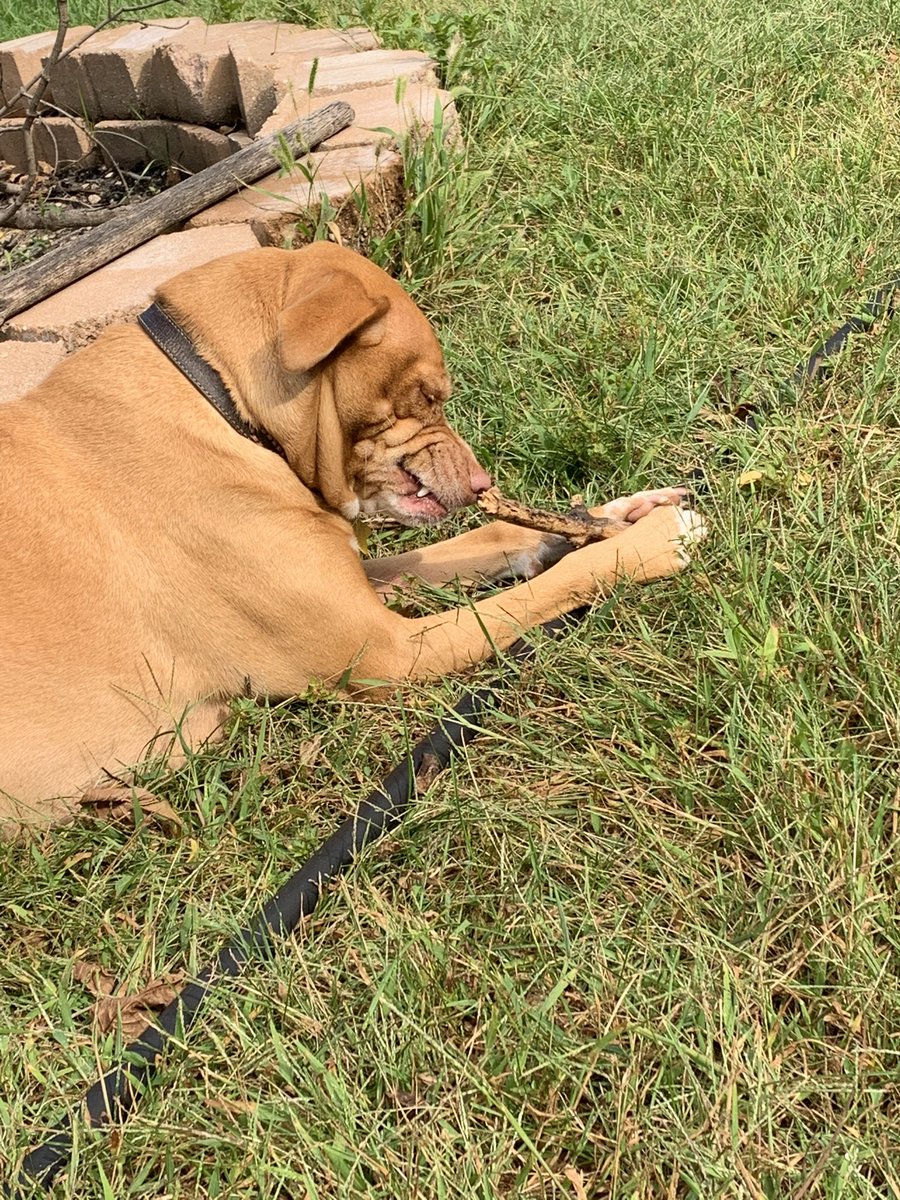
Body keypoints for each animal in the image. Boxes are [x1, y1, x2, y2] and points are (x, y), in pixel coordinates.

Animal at [0, 238, 705, 830]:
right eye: (426, 396)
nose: (481, 481)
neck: (222, 401)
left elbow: (480, 544)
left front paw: (617, 515)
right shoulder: (388, 652)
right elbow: (546, 588)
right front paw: (651, 541)